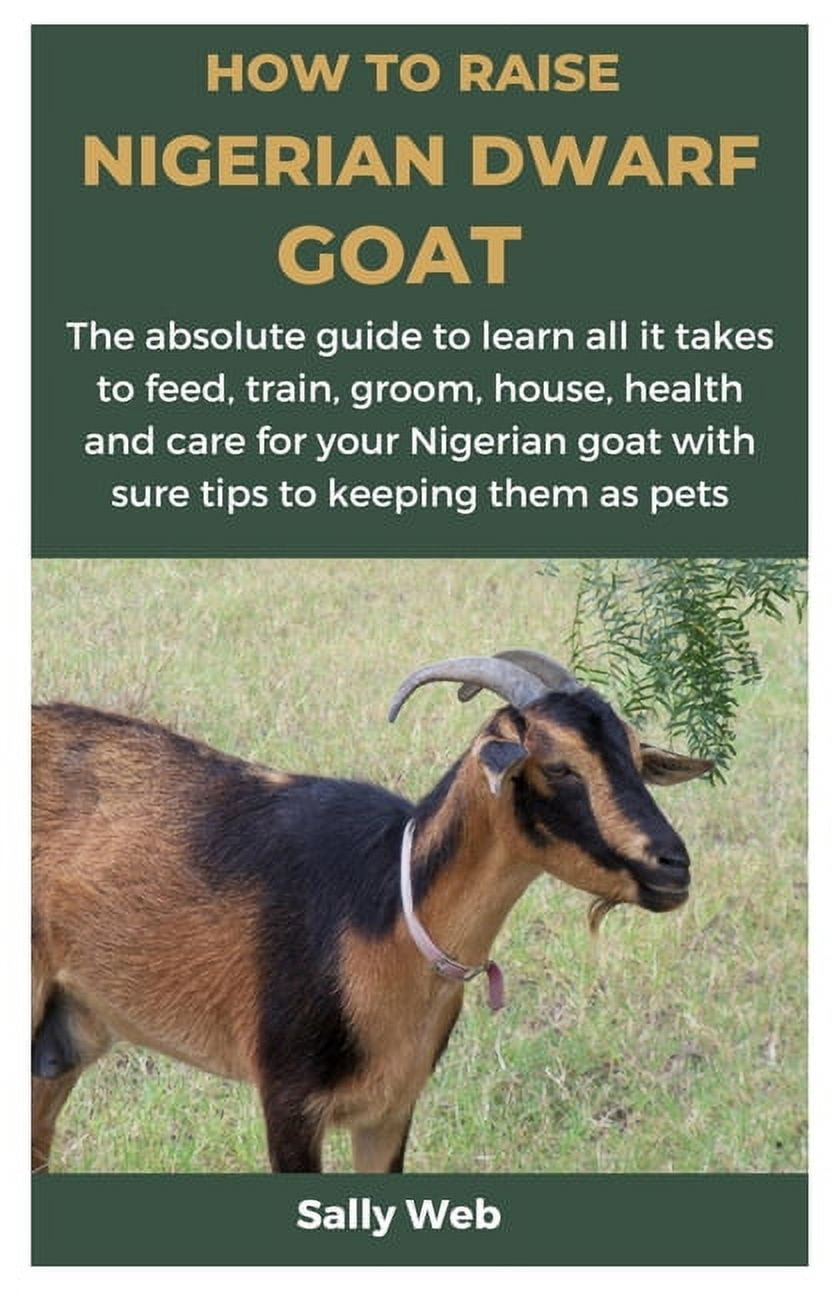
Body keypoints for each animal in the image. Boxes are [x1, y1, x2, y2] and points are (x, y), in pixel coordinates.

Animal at [31, 649, 712, 1173]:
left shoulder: (390, 1110)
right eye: (559, 765)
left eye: (633, 755)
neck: (389, 910)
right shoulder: (289, 1101)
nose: (673, 866)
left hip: (67, 1034)